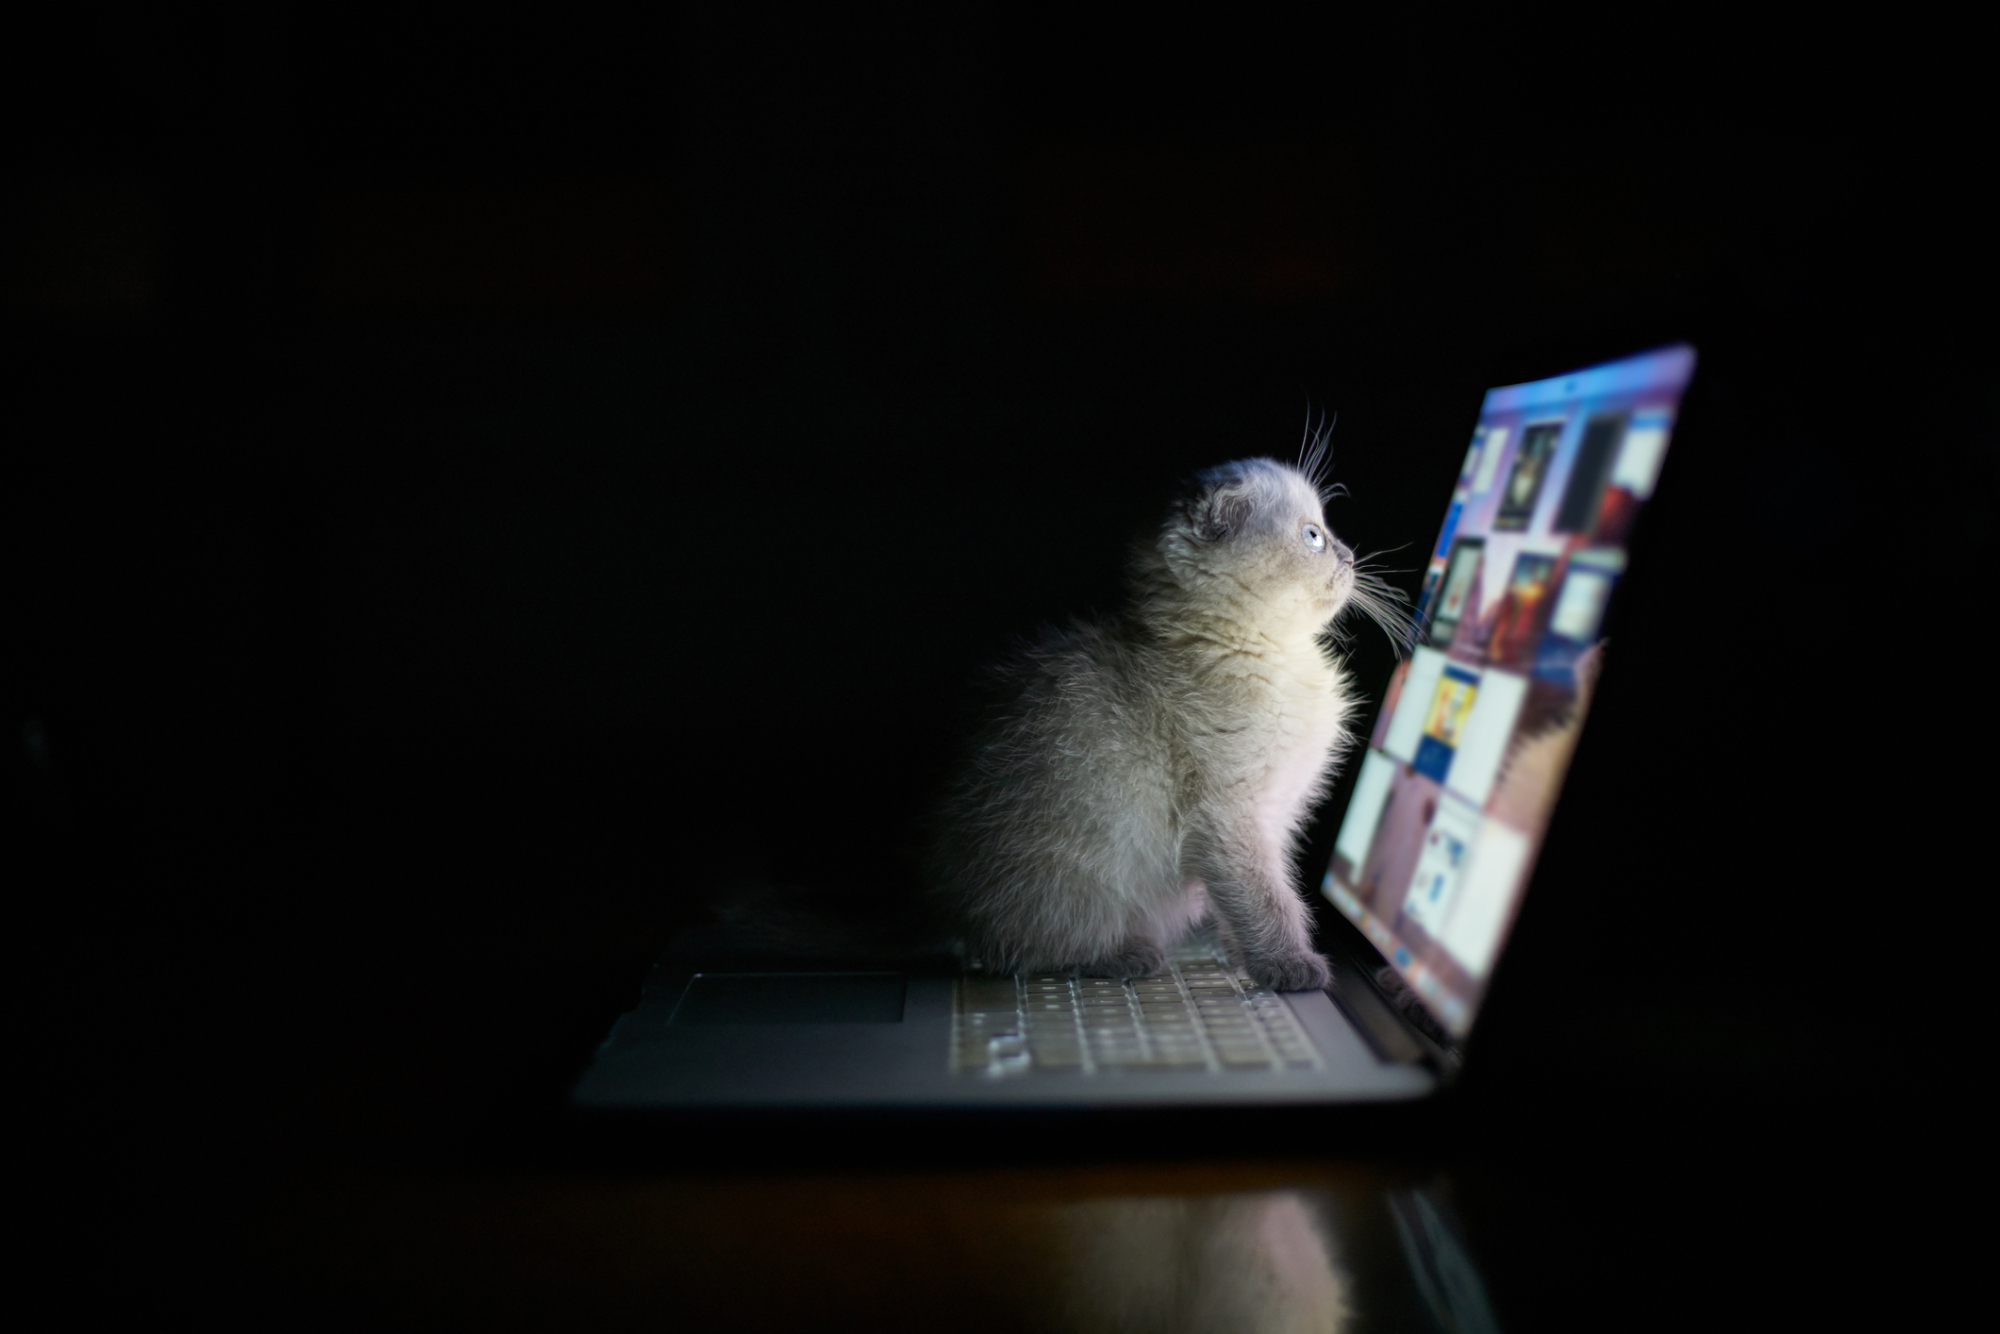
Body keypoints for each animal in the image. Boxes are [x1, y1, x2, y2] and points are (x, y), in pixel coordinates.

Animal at [924, 452, 1408, 992]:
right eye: (1313, 536)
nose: (1350, 556)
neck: (1274, 659)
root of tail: (948, 910)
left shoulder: (1273, 820)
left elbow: (1254, 901)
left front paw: (1248, 963)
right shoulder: (1228, 817)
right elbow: (1268, 901)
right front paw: (1290, 965)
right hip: (1075, 885)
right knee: (1029, 949)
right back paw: (1126, 954)